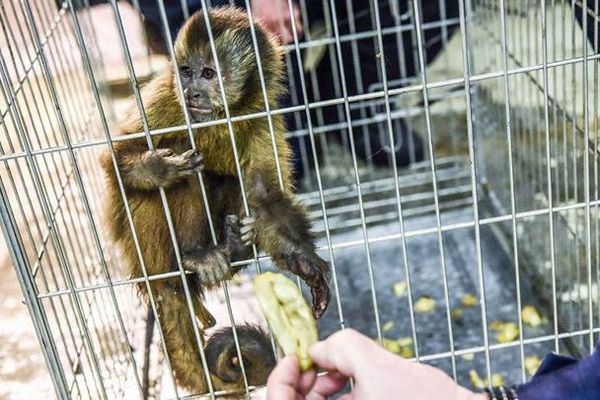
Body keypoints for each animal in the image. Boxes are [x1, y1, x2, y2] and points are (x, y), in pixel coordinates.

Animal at [100, 5, 330, 394]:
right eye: (186, 71)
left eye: (209, 73)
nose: (192, 91)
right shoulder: (165, 97)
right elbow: (114, 159)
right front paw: (158, 169)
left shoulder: (261, 117)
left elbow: (264, 197)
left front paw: (305, 263)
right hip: (145, 246)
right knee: (187, 175)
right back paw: (194, 257)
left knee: (231, 181)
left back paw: (233, 247)